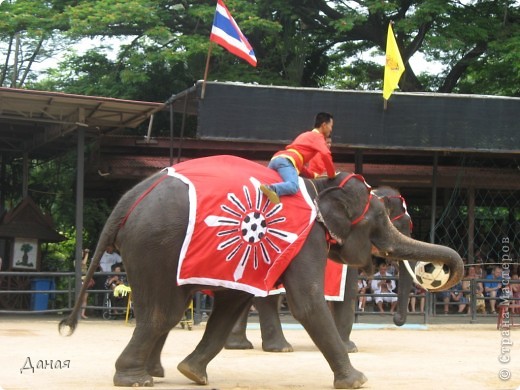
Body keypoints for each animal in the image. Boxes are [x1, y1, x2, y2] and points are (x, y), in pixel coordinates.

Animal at [223, 186, 414, 354]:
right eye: (402, 225)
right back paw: (281, 348)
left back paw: (238, 345)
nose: (396, 319)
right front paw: (350, 348)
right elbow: (349, 292)